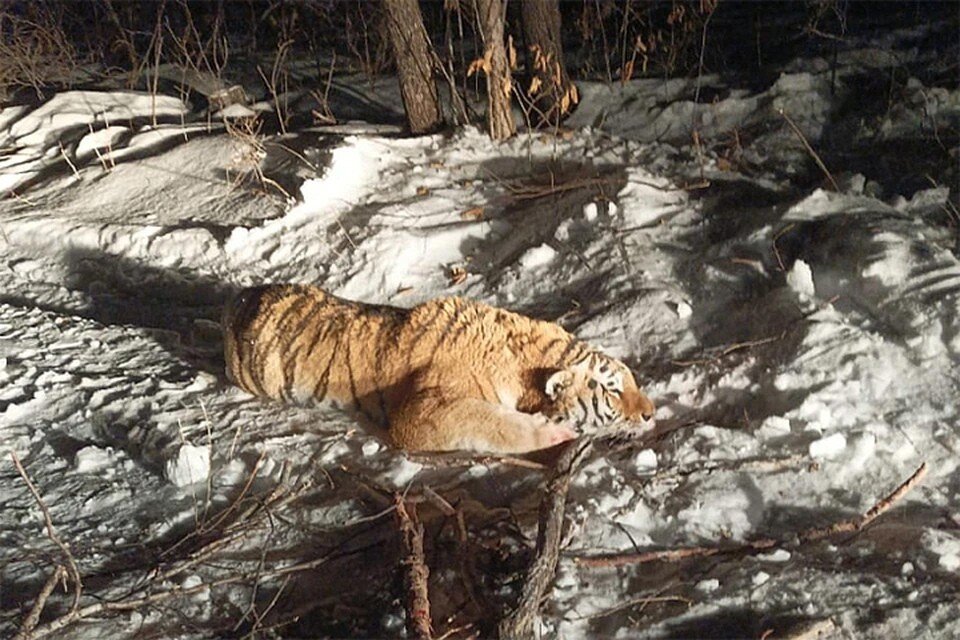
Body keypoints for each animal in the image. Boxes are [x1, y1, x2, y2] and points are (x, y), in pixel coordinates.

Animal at [221, 284, 656, 456]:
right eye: (613, 390)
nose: (652, 413)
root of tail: (240, 299)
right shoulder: (421, 412)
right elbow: (491, 422)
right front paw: (553, 432)